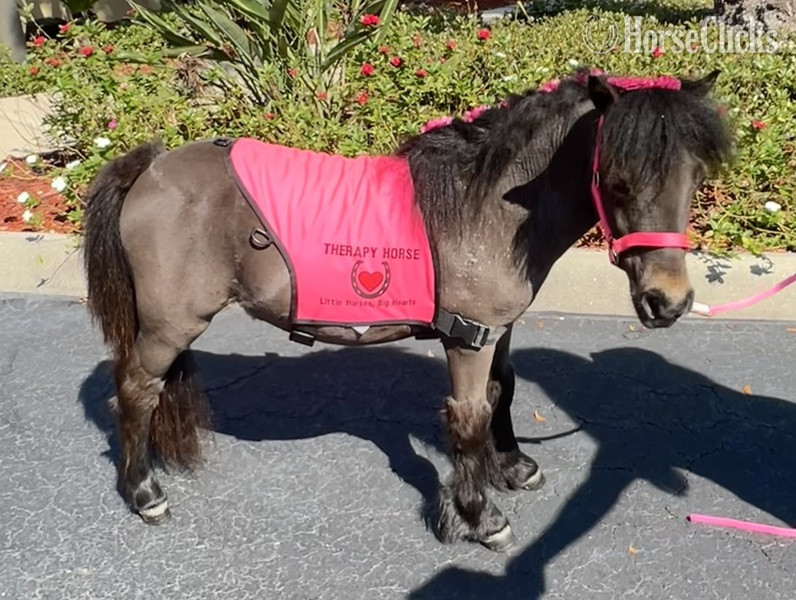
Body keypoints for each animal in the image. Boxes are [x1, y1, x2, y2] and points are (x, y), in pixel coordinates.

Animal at [81, 68, 732, 552]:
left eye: (695, 177)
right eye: (616, 179)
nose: (668, 302)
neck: (485, 209)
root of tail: (150, 167)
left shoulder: (499, 331)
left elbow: (504, 392)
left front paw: (512, 467)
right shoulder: (468, 337)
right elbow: (468, 419)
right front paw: (481, 515)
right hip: (170, 325)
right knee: (135, 391)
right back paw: (144, 493)